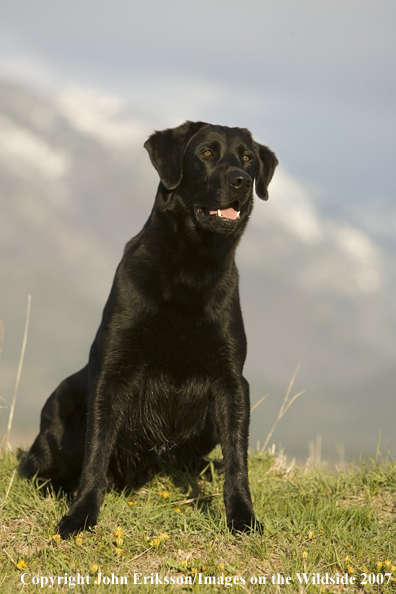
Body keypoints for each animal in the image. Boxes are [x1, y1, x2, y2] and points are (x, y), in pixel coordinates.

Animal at [23, 120, 276, 536]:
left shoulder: (232, 381)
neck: (191, 269)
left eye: (248, 159)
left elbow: (238, 458)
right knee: (38, 466)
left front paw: (242, 516)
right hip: (59, 410)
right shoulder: (112, 372)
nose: (240, 180)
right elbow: (96, 453)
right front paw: (80, 515)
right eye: (206, 153)